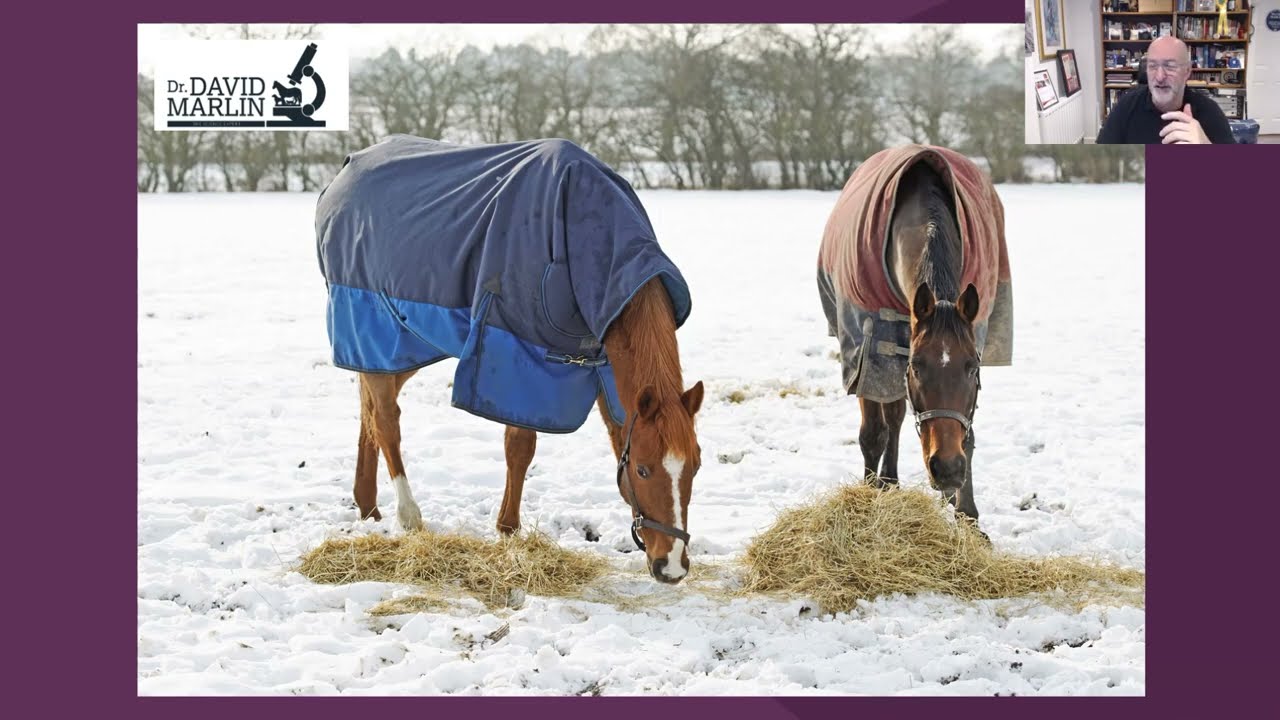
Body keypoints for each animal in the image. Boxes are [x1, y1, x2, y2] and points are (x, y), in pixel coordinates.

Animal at [316, 136, 704, 584]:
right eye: (642, 469)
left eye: (695, 465)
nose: (671, 566)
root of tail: (346, 169)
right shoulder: (519, 356)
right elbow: (520, 448)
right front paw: (507, 529)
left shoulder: (607, 366)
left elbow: (613, 434)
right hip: (373, 326)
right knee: (385, 420)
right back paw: (407, 515)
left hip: (403, 344)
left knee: (369, 410)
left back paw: (367, 506)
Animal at [817, 145, 1013, 531]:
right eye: (918, 367)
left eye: (972, 368)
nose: (947, 469)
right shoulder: (868, 350)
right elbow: (873, 432)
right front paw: (871, 495)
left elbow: (967, 434)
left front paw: (967, 513)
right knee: (886, 422)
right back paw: (886, 482)